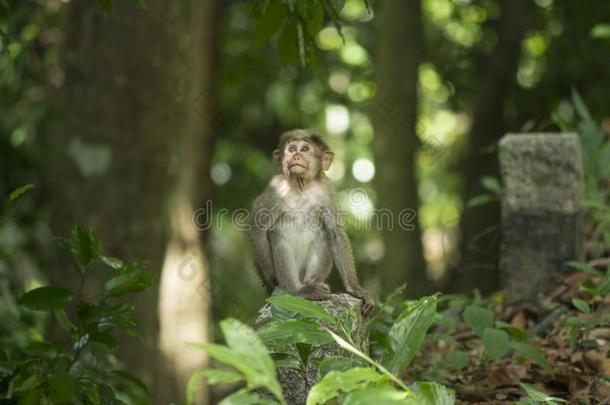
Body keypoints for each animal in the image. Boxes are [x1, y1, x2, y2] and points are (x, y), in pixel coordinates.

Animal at [245, 129, 372, 316]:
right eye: (291, 149)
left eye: (305, 149)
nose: (296, 156)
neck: (301, 185)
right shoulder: (275, 188)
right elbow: (257, 230)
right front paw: (272, 282)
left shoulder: (326, 190)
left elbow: (336, 233)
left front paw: (356, 289)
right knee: (277, 235)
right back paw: (297, 291)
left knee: (324, 234)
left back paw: (313, 284)